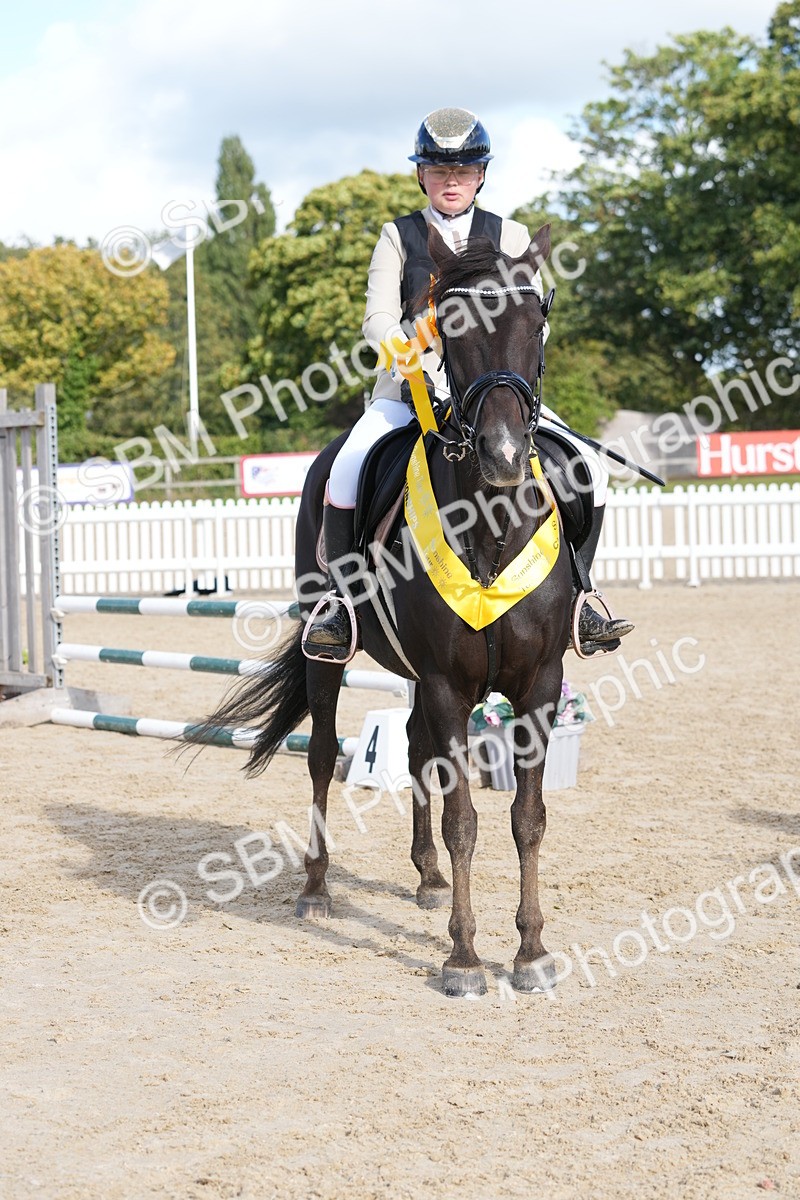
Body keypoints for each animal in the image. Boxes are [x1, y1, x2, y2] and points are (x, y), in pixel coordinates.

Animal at [206, 224, 573, 997]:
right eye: (452, 326)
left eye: (538, 318)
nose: (502, 455)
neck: (490, 526)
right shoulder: (447, 683)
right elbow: (466, 818)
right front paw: (463, 959)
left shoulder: (539, 684)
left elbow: (527, 816)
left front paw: (530, 951)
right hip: (333, 656)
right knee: (321, 755)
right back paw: (316, 888)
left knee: (410, 746)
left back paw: (428, 877)